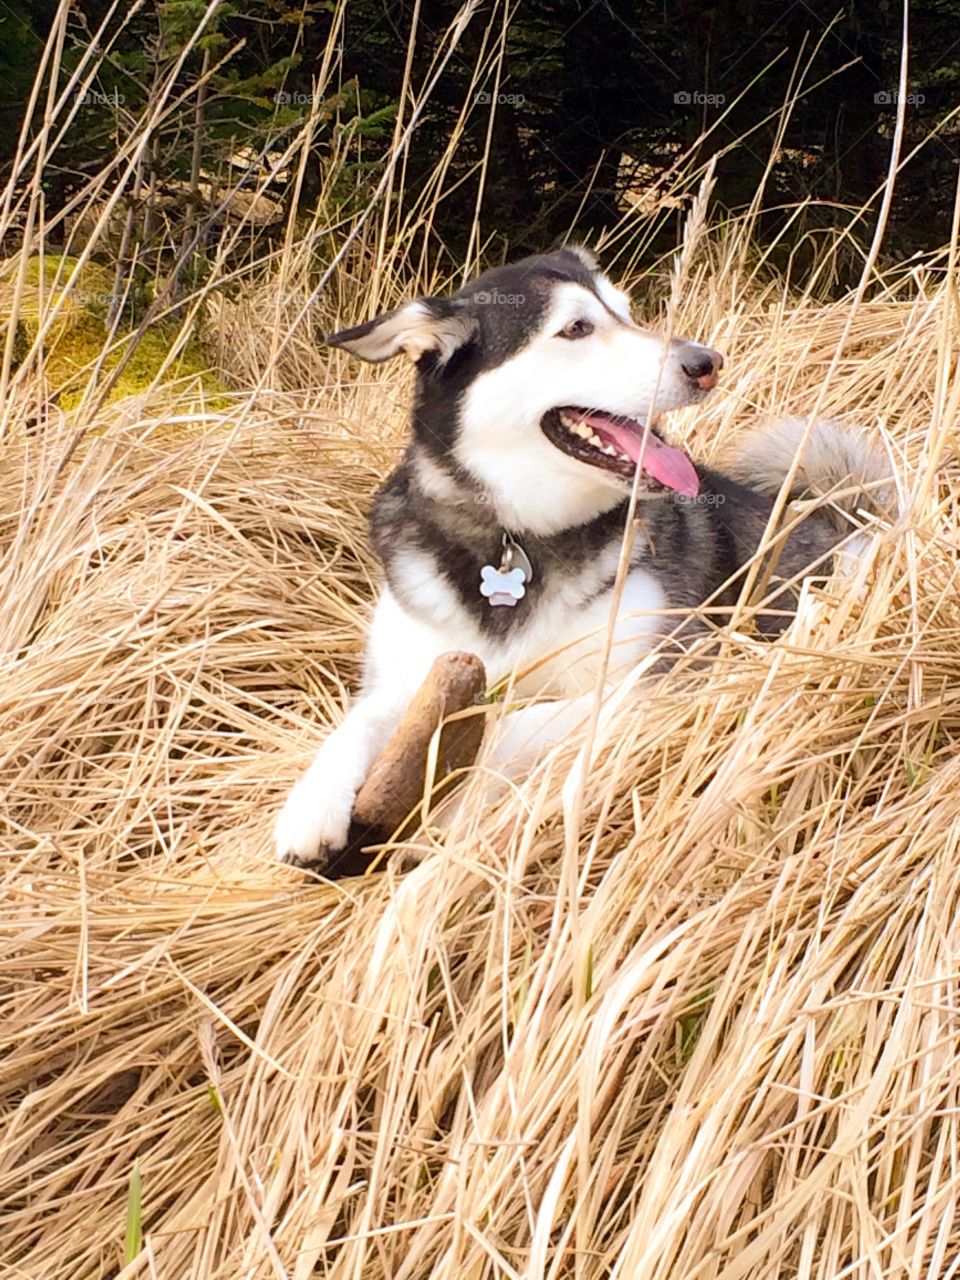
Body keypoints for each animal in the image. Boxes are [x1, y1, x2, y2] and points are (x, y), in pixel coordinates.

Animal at [273, 247, 890, 870]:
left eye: (630, 314)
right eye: (575, 328)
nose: (708, 361)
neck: (516, 537)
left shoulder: (664, 680)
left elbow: (506, 725)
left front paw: (446, 806)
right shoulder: (406, 674)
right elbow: (356, 725)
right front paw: (311, 804)